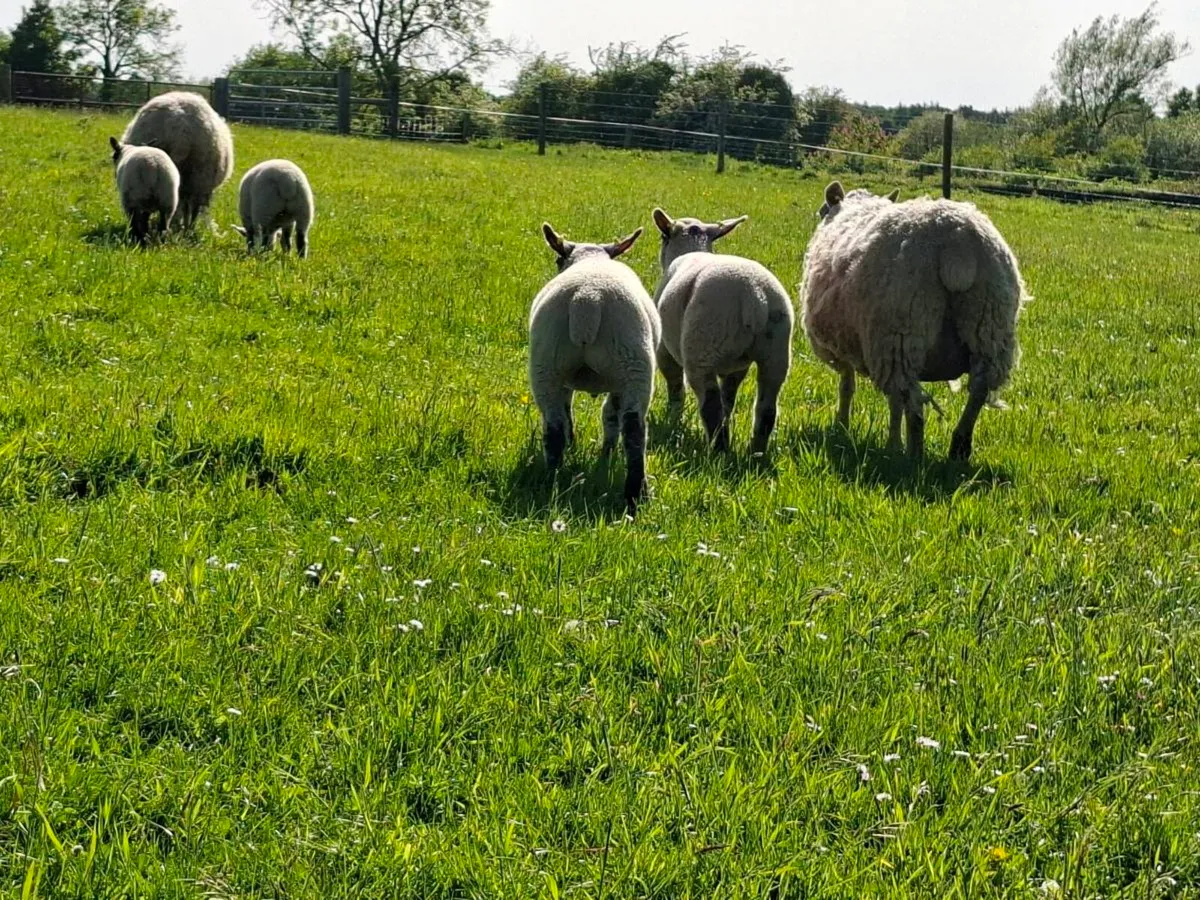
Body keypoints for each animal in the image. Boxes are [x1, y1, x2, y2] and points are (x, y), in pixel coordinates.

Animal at [529, 223, 661, 512]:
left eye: (558, 260)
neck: (591, 258)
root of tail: (587, 298)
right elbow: (610, 414)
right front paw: (606, 452)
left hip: (547, 364)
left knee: (554, 427)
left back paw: (551, 480)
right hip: (634, 364)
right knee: (633, 427)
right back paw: (636, 493)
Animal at [651, 208, 794, 455]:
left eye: (663, 237)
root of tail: (754, 296)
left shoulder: (664, 352)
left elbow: (676, 389)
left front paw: (673, 419)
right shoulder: (736, 367)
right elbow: (729, 398)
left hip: (702, 351)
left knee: (711, 408)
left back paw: (718, 452)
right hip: (775, 353)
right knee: (766, 409)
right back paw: (756, 453)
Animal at [799, 181, 1028, 461]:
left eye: (822, 211)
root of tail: (957, 242)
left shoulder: (840, 347)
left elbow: (847, 387)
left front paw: (843, 425)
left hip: (900, 332)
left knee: (911, 401)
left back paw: (911, 452)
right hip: (989, 325)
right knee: (978, 389)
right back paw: (959, 447)